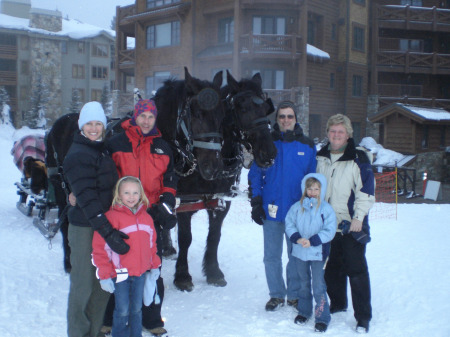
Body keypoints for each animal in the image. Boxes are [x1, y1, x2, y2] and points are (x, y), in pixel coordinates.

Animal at [165, 69, 278, 290]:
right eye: (242, 107)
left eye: (265, 108)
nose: (269, 153)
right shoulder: (186, 200)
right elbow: (185, 238)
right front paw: (182, 276)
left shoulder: (221, 200)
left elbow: (215, 235)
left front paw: (213, 271)